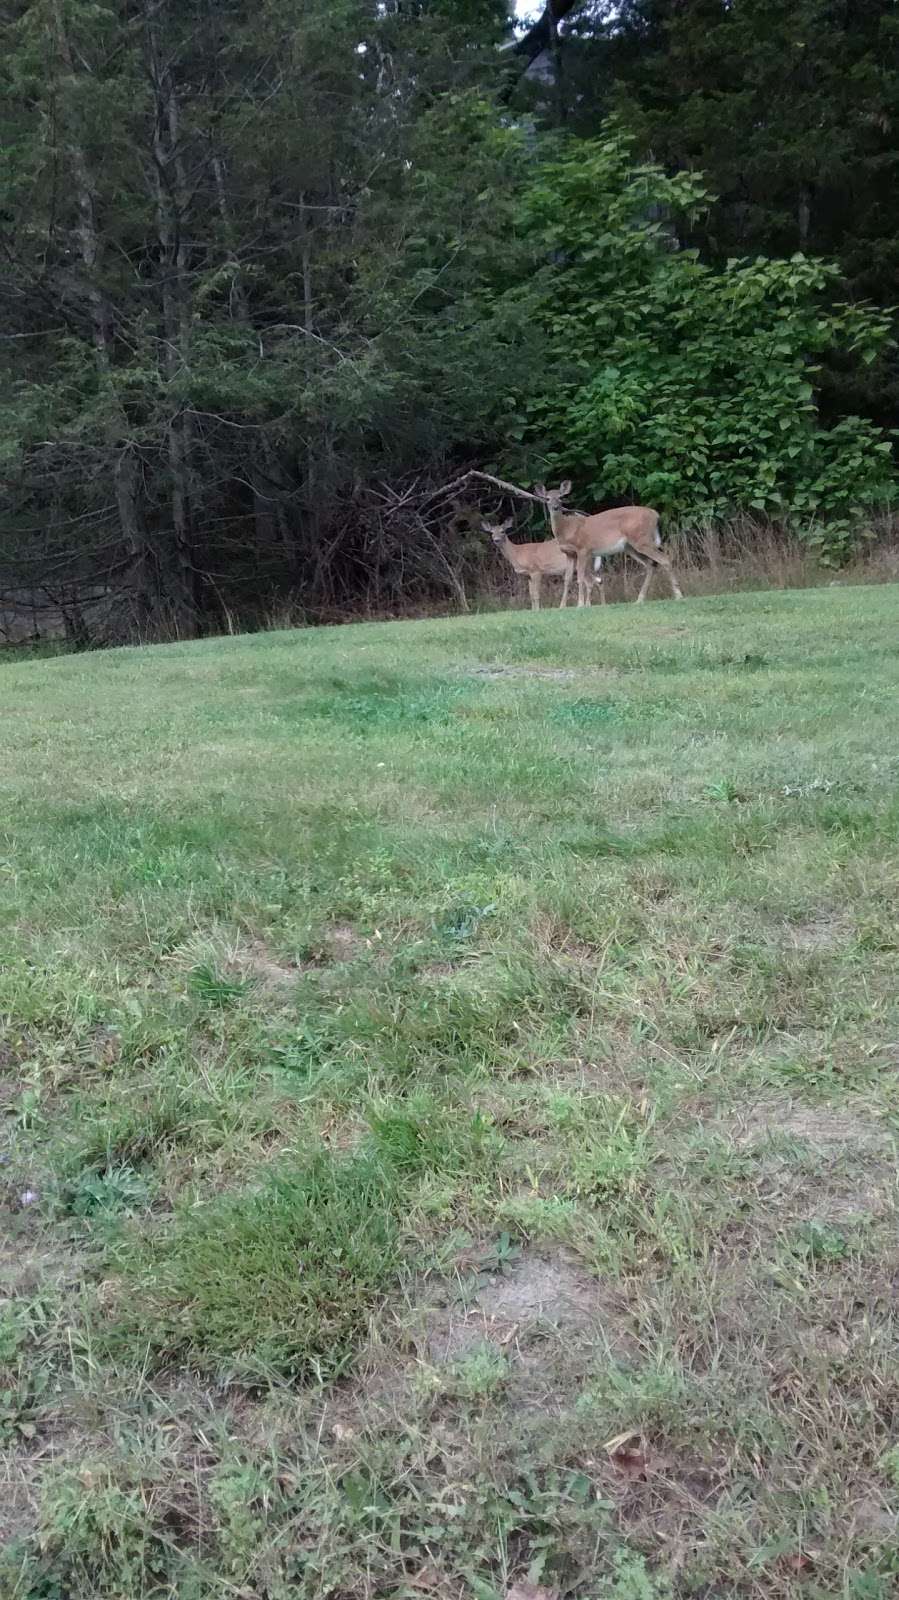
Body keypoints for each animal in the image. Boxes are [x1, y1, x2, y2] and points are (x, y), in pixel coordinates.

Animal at [531, 480, 678, 604]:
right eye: (547, 498)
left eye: (561, 497)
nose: (556, 507)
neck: (567, 529)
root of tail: (655, 514)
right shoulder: (569, 553)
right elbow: (567, 580)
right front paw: (562, 606)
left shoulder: (583, 549)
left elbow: (580, 577)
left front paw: (580, 604)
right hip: (631, 546)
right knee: (650, 565)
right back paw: (640, 599)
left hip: (642, 540)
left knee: (664, 559)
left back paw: (678, 595)